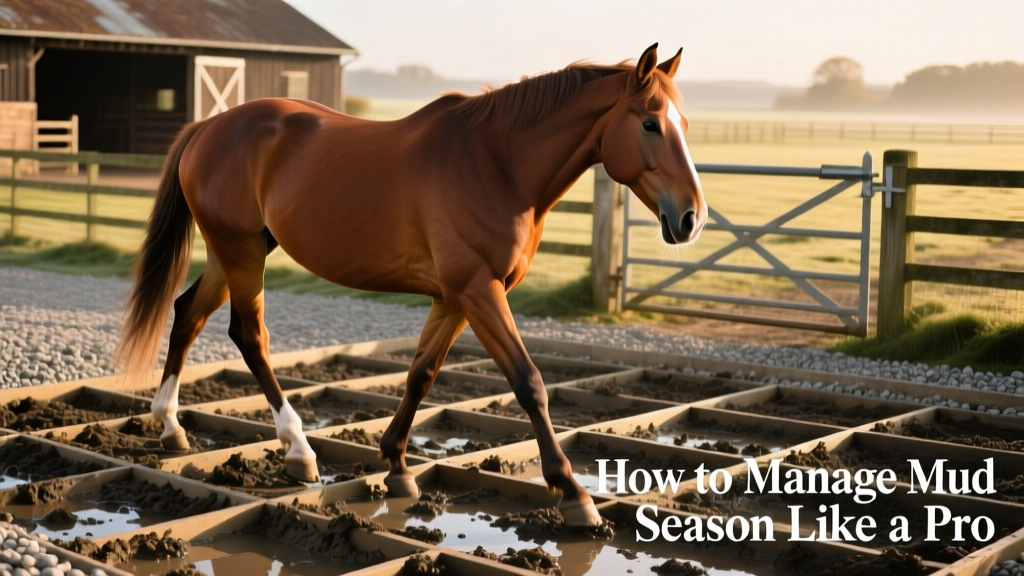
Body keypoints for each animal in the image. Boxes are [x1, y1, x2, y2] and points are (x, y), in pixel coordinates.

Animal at [116, 43, 705, 527]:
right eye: (650, 124)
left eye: (685, 123)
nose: (692, 218)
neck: (498, 163)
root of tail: (209, 127)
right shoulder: (479, 291)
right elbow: (529, 382)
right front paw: (573, 493)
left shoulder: (453, 298)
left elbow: (421, 374)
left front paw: (397, 464)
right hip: (240, 254)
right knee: (250, 336)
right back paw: (298, 450)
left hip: (237, 251)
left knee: (188, 313)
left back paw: (170, 426)